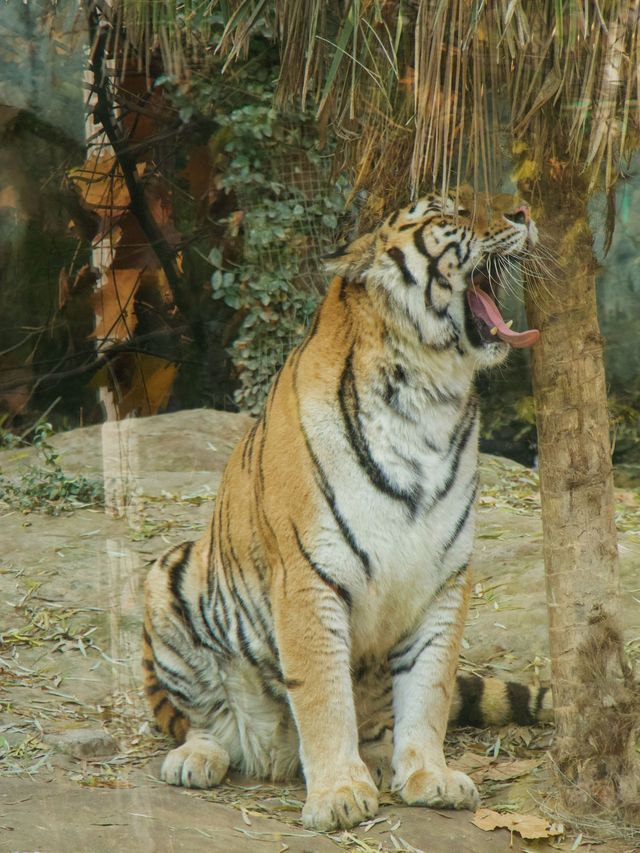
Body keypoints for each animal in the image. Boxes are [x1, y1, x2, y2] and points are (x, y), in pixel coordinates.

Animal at [142, 188, 552, 832]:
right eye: (448, 214)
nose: (525, 213)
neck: (429, 396)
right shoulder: (309, 578)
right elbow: (322, 694)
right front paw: (337, 793)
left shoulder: (444, 578)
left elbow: (430, 689)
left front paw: (429, 776)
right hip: (171, 575)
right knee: (196, 720)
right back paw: (200, 757)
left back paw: (381, 759)